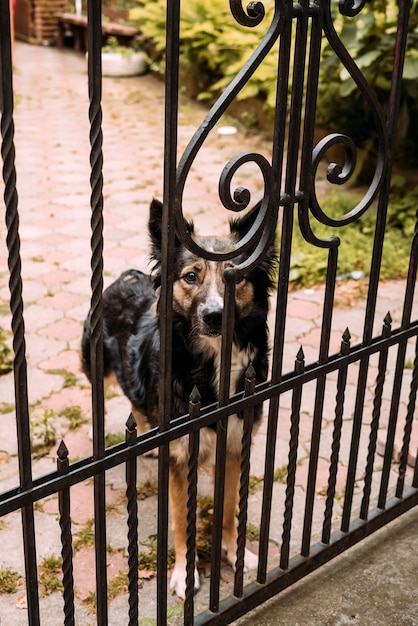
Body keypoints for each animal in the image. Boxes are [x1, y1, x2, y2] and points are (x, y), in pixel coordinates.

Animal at [82, 197, 278, 596]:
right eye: (190, 277)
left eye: (237, 276)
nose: (215, 315)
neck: (212, 361)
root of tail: (126, 276)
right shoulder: (181, 459)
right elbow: (180, 521)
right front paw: (184, 574)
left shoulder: (235, 447)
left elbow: (229, 509)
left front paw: (235, 553)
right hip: (96, 363)